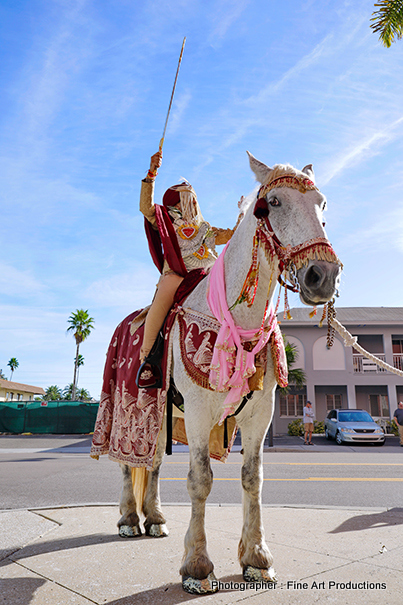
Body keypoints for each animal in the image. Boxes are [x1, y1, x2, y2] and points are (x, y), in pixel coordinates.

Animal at [90, 152, 342, 596]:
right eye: (273, 202)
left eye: (323, 204)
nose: (322, 275)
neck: (237, 320)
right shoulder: (197, 410)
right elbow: (201, 480)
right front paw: (197, 566)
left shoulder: (260, 413)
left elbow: (253, 478)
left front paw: (256, 558)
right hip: (125, 411)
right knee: (126, 462)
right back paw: (129, 519)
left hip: (160, 416)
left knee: (153, 463)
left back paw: (154, 518)